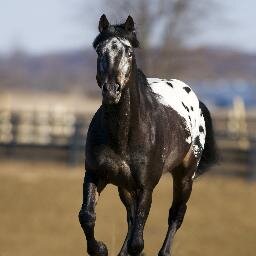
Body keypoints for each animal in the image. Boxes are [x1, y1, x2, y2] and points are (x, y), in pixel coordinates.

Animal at [78, 14, 216, 256]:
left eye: (129, 53)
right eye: (100, 51)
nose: (112, 90)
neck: (123, 135)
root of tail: (196, 101)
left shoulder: (146, 187)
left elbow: (137, 241)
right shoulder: (95, 175)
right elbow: (87, 216)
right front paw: (101, 248)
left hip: (185, 176)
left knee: (176, 214)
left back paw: (165, 251)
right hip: (125, 187)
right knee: (131, 217)